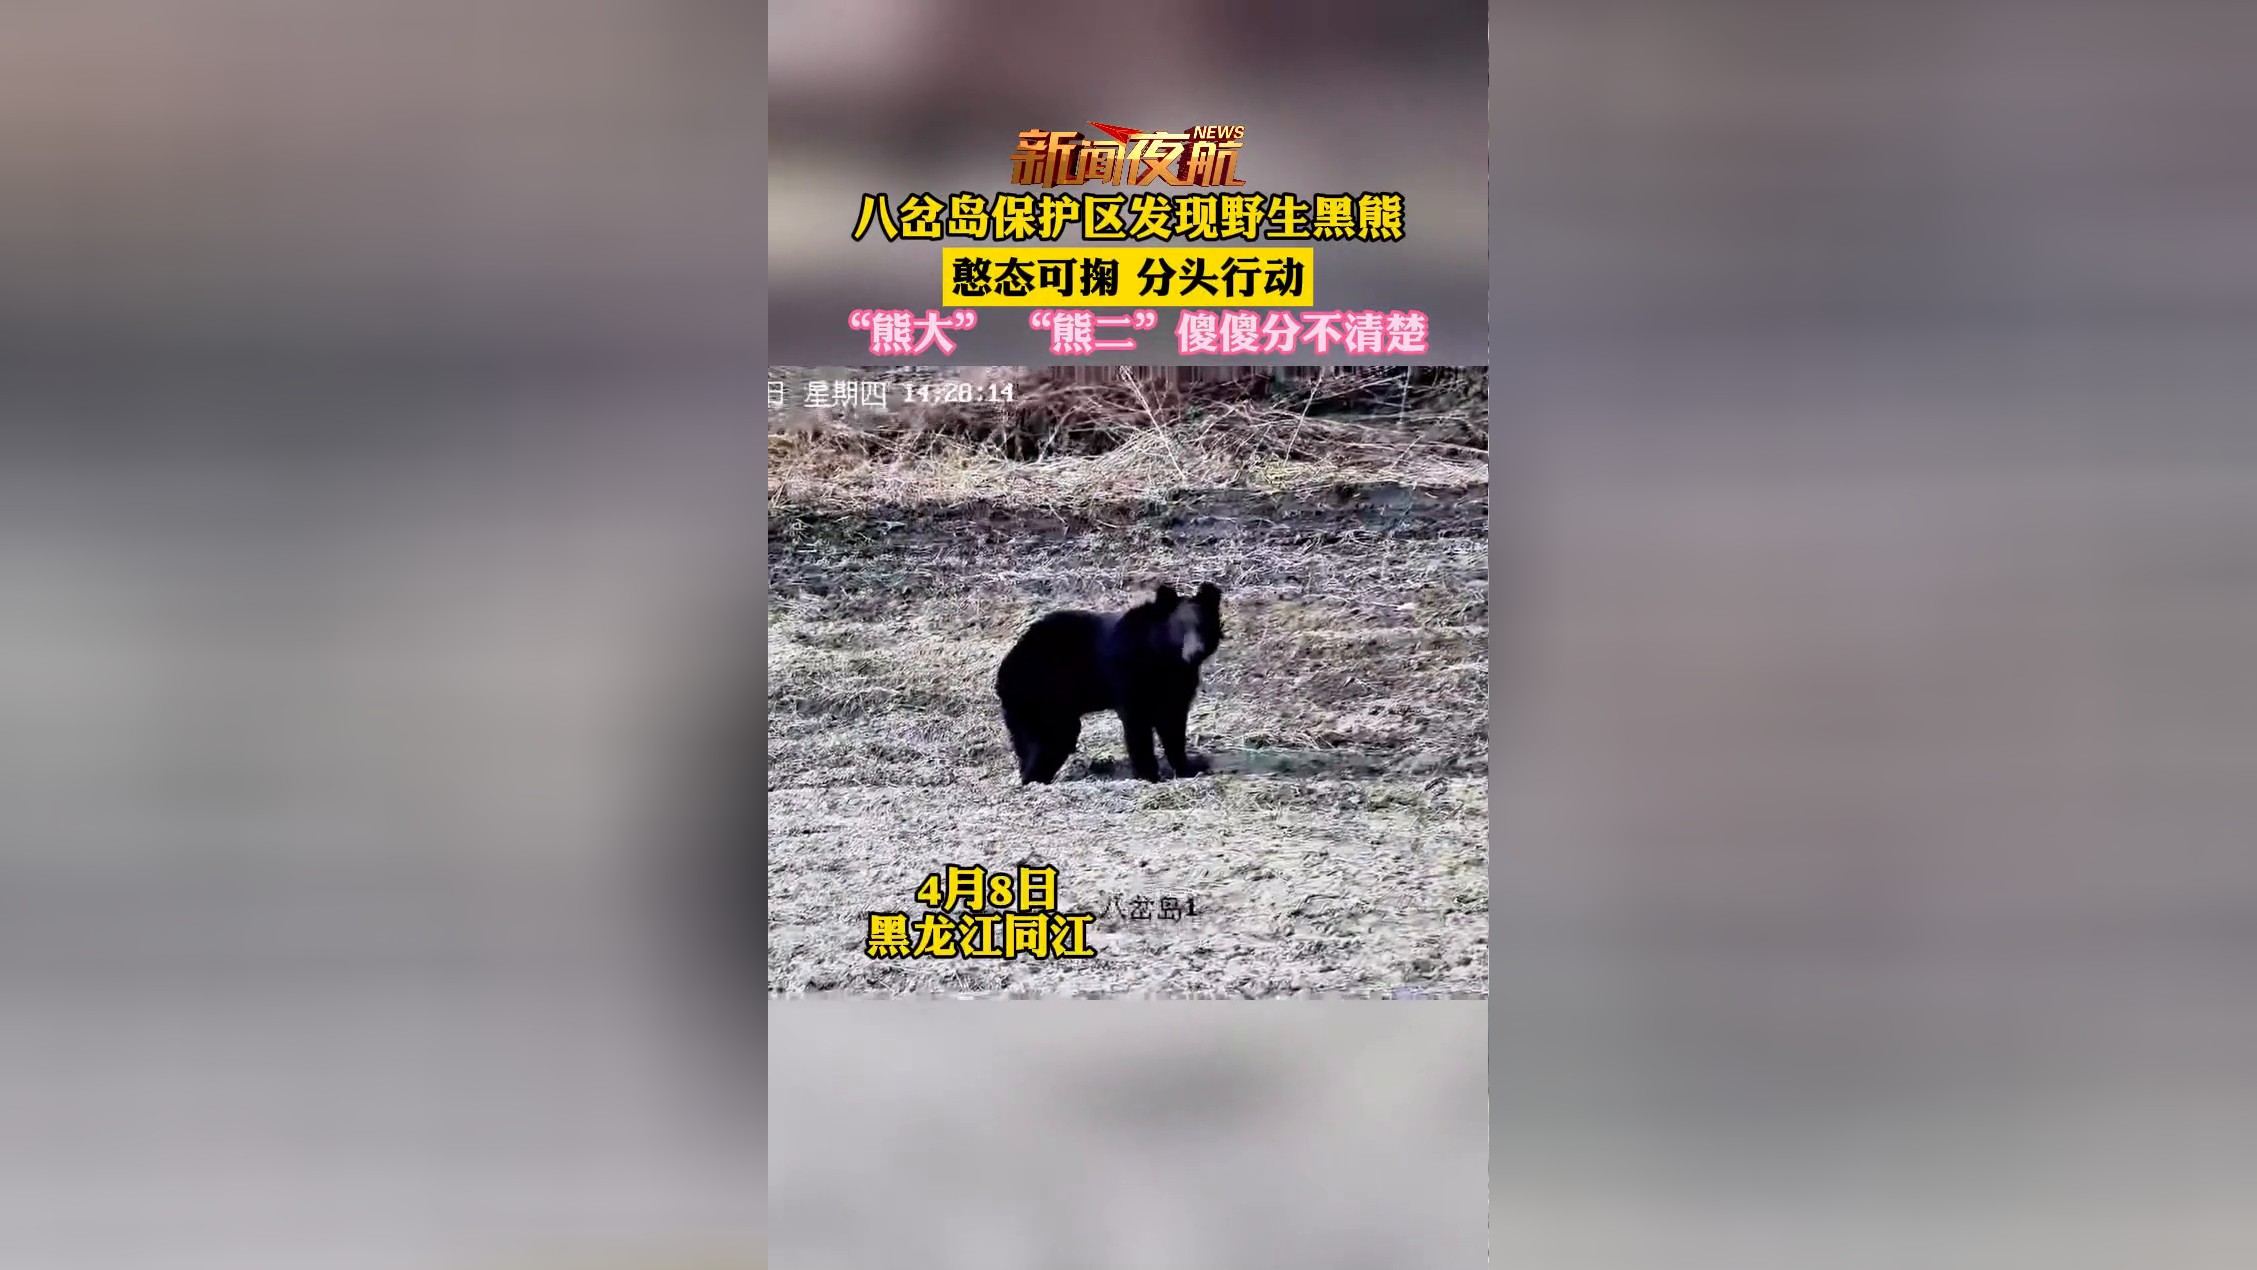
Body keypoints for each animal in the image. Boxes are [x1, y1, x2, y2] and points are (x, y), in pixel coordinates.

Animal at [994, 582, 1225, 784]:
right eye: (1180, 627)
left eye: (1203, 625)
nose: (1195, 652)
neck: (1164, 659)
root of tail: (1003, 675)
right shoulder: (1129, 673)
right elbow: (1137, 723)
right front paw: (1148, 774)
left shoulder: (1178, 682)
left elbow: (1173, 721)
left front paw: (1187, 767)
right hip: (1046, 692)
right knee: (1056, 737)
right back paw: (1036, 779)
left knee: (1028, 743)